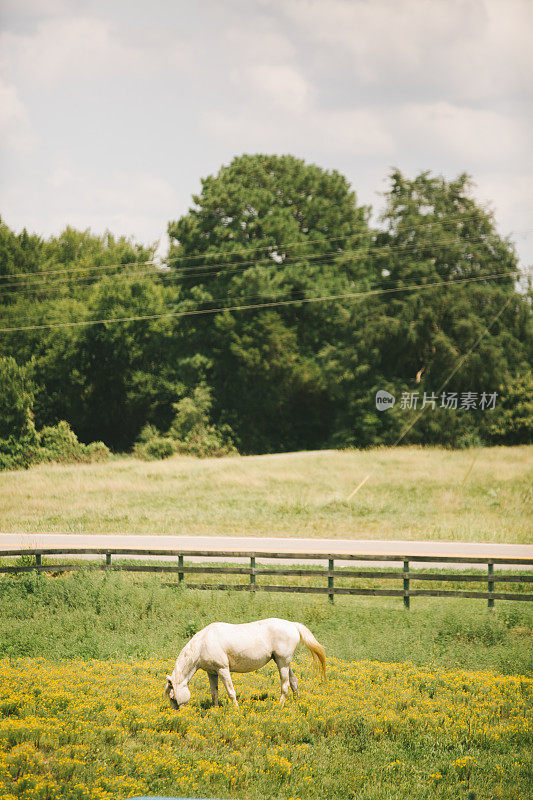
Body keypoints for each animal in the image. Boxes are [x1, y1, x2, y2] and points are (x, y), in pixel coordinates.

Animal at [165, 616, 324, 708]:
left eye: (173, 697)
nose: (179, 714)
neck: (203, 643)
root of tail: (293, 625)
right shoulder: (212, 673)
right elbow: (214, 692)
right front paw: (215, 709)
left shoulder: (223, 669)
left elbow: (230, 691)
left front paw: (236, 709)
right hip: (283, 662)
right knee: (294, 682)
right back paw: (296, 703)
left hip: (283, 663)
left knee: (284, 685)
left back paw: (279, 706)